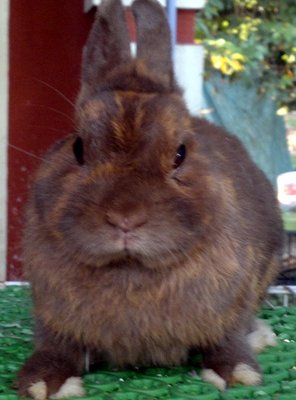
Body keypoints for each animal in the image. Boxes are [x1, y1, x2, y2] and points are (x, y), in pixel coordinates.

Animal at [17, 0, 284, 398]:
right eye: (78, 148)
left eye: (180, 153)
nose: (125, 217)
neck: (132, 270)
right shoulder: (52, 318)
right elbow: (56, 347)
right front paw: (42, 381)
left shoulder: (233, 304)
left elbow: (228, 337)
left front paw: (237, 373)